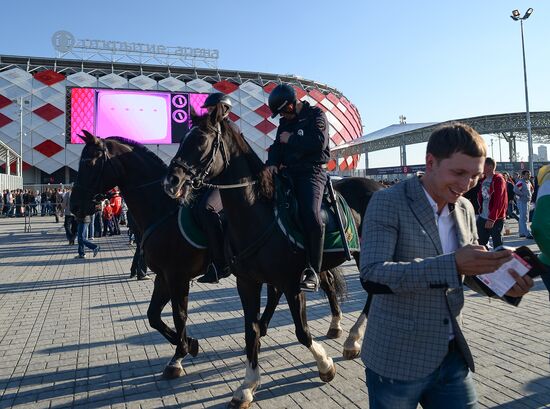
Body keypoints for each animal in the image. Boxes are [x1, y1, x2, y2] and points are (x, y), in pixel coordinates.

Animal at [162, 112, 382, 408]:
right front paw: (247, 386)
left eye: (201, 140)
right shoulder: (247, 283)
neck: (258, 213)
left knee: (370, 293)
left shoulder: (292, 283)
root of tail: (379, 185)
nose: (171, 181)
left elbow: (302, 331)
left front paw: (325, 365)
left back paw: (352, 340)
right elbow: (250, 331)